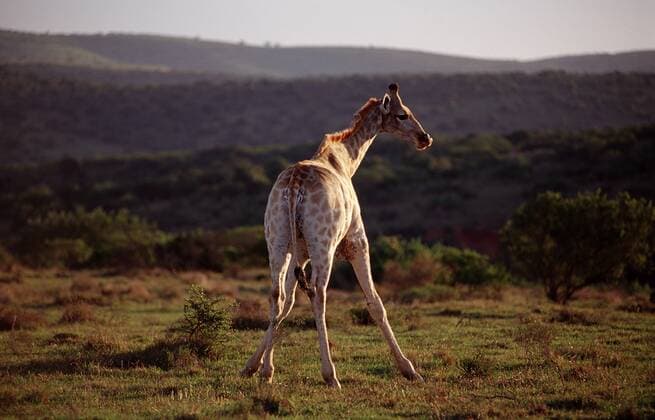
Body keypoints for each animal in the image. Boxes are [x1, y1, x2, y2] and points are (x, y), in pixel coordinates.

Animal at [241, 83, 433, 388]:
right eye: (403, 114)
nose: (425, 138)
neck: (343, 161)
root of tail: (295, 184)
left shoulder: (300, 252)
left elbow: (287, 303)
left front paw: (258, 367)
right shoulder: (357, 242)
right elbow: (376, 303)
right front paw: (409, 369)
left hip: (277, 239)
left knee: (276, 294)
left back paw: (265, 369)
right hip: (324, 245)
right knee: (318, 293)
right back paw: (330, 374)